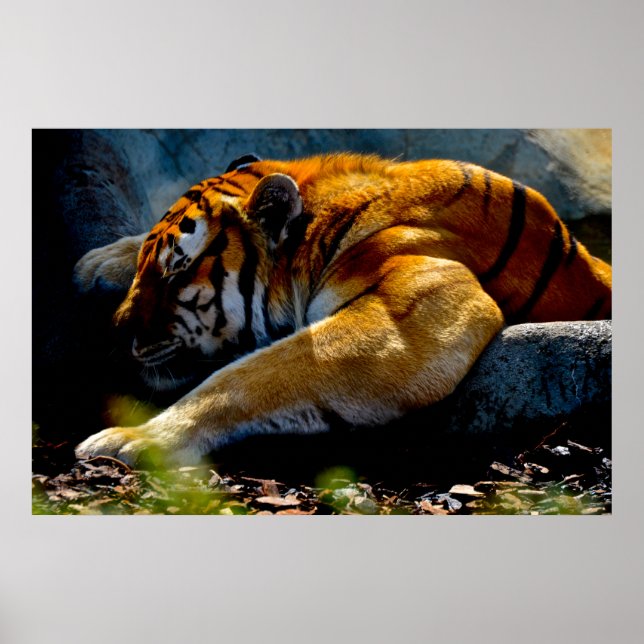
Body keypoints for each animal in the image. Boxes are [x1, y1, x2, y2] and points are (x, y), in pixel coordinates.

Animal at [74, 153, 612, 467]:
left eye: (176, 275)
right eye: (150, 268)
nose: (116, 332)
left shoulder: (415, 306)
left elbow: (251, 374)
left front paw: (136, 438)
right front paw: (97, 262)